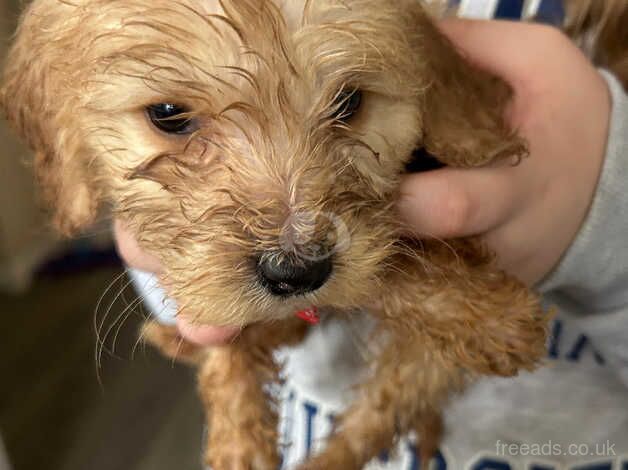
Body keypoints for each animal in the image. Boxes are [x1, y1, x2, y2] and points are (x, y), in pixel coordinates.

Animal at [2, 1, 624, 468]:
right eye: (168, 115)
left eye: (349, 102)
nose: (296, 270)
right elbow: (222, 334)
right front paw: (236, 437)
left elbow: (397, 261)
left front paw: (491, 318)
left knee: (378, 414)